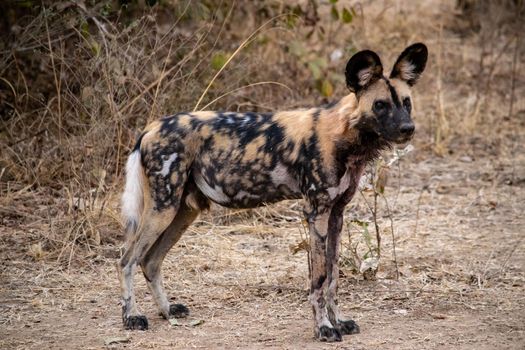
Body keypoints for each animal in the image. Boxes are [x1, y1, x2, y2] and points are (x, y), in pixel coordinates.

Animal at [121, 42, 428, 340]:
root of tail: (150, 128)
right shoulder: (316, 213)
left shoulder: (336, 215)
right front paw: (323, 328)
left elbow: (333, 278)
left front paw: (339, 322)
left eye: (406, 103)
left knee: (150, 262)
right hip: (162, 209)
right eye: (380, 105)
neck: (345, 137)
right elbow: (318, 280)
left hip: (182, 211)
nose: (408, 128)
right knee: (127, 259)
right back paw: (132, 317)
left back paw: (167, 310)